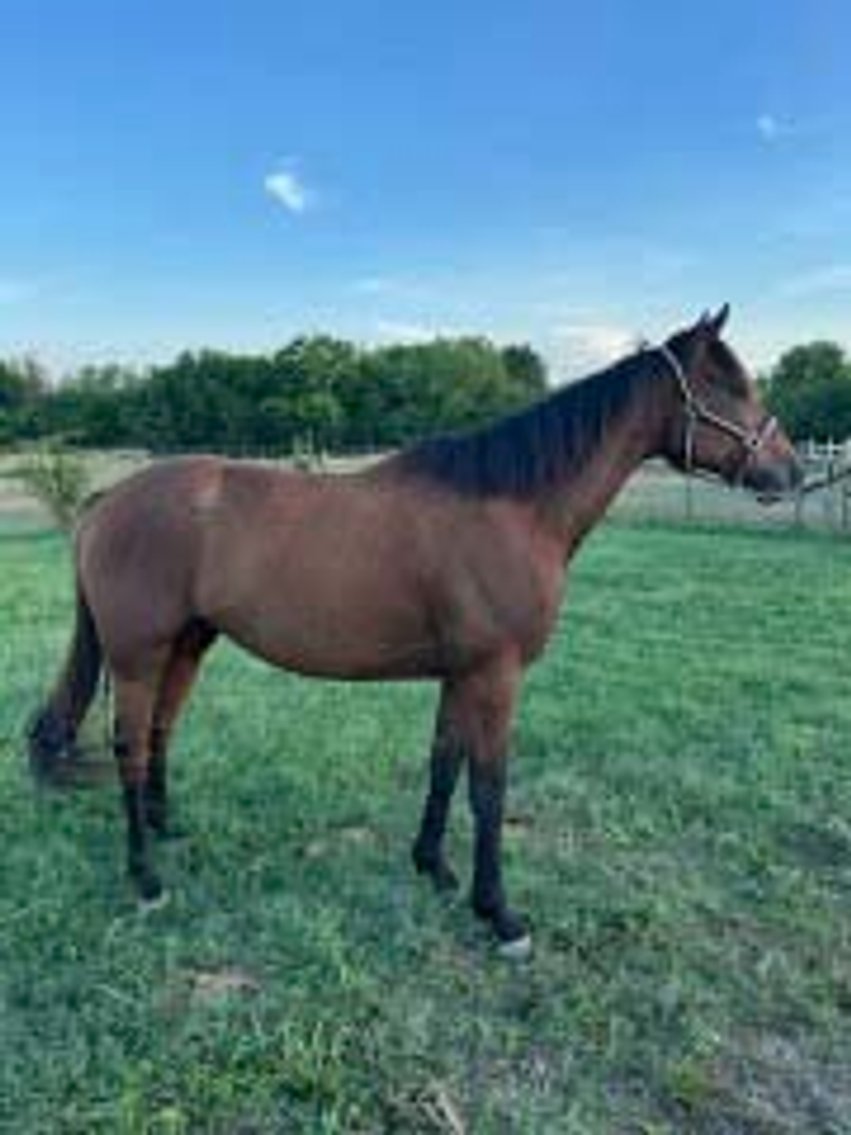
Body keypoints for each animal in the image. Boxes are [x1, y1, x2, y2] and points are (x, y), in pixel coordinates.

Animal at [28, 306, 801, 957]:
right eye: (731, 386)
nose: (791, 471)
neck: (511, 505)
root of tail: (105, 502)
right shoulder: (495, 674)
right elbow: (488, 786)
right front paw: (500, 915)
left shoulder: (462, 673)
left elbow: (443, 762)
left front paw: (433, 868)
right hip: (139, 655)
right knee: (129, 745)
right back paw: (145, 877)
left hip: (187, 644)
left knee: (161, 729)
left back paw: (168, 829)